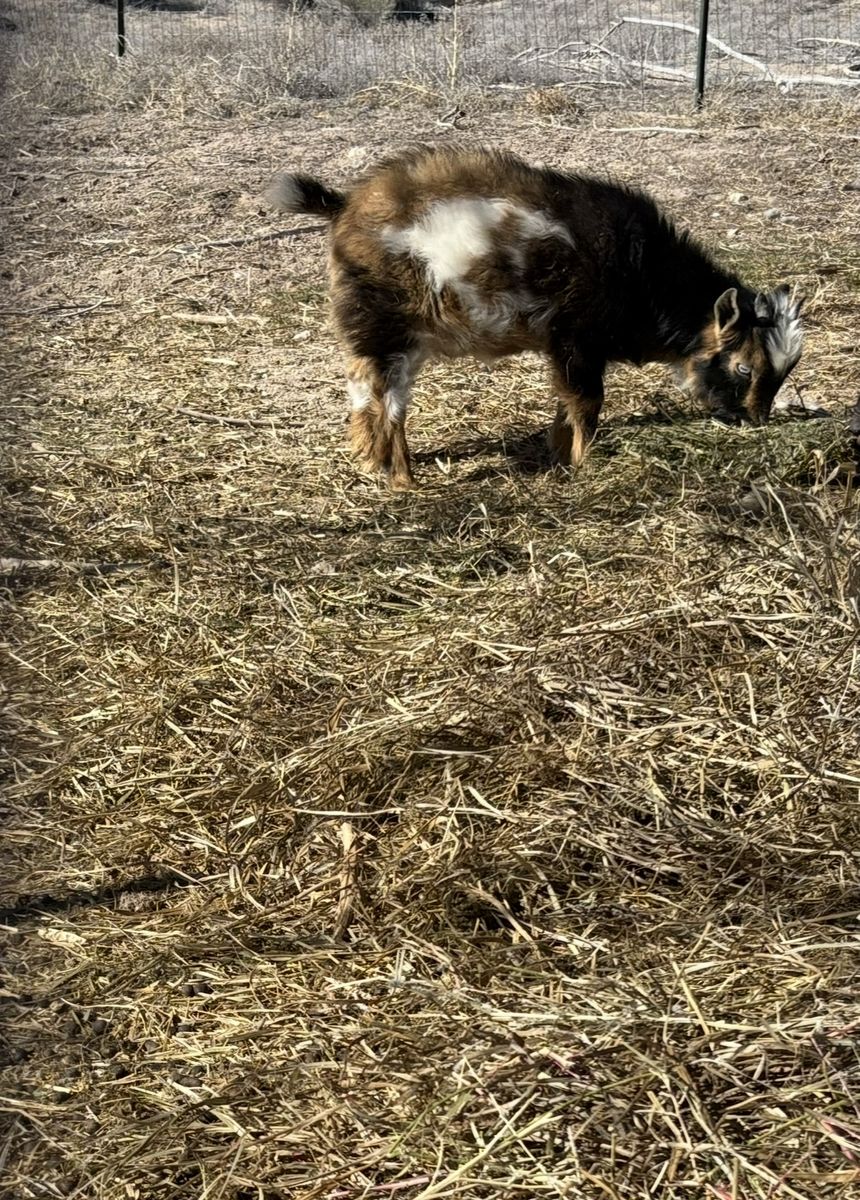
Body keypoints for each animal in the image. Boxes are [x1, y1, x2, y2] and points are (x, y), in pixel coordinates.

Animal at [265, 146, 804, 489]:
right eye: (743, 366)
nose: (756, 421)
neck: (639, 271)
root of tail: (344, 206)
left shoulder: (564, 348)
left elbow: (567, 402)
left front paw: (559, 454)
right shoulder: (575, 340)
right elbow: (587, 403)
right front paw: (585, 463)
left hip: (373, 335)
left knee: (361, 391)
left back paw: (371, 461)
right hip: (389, 332)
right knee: (389, 403)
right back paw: (403, 480)